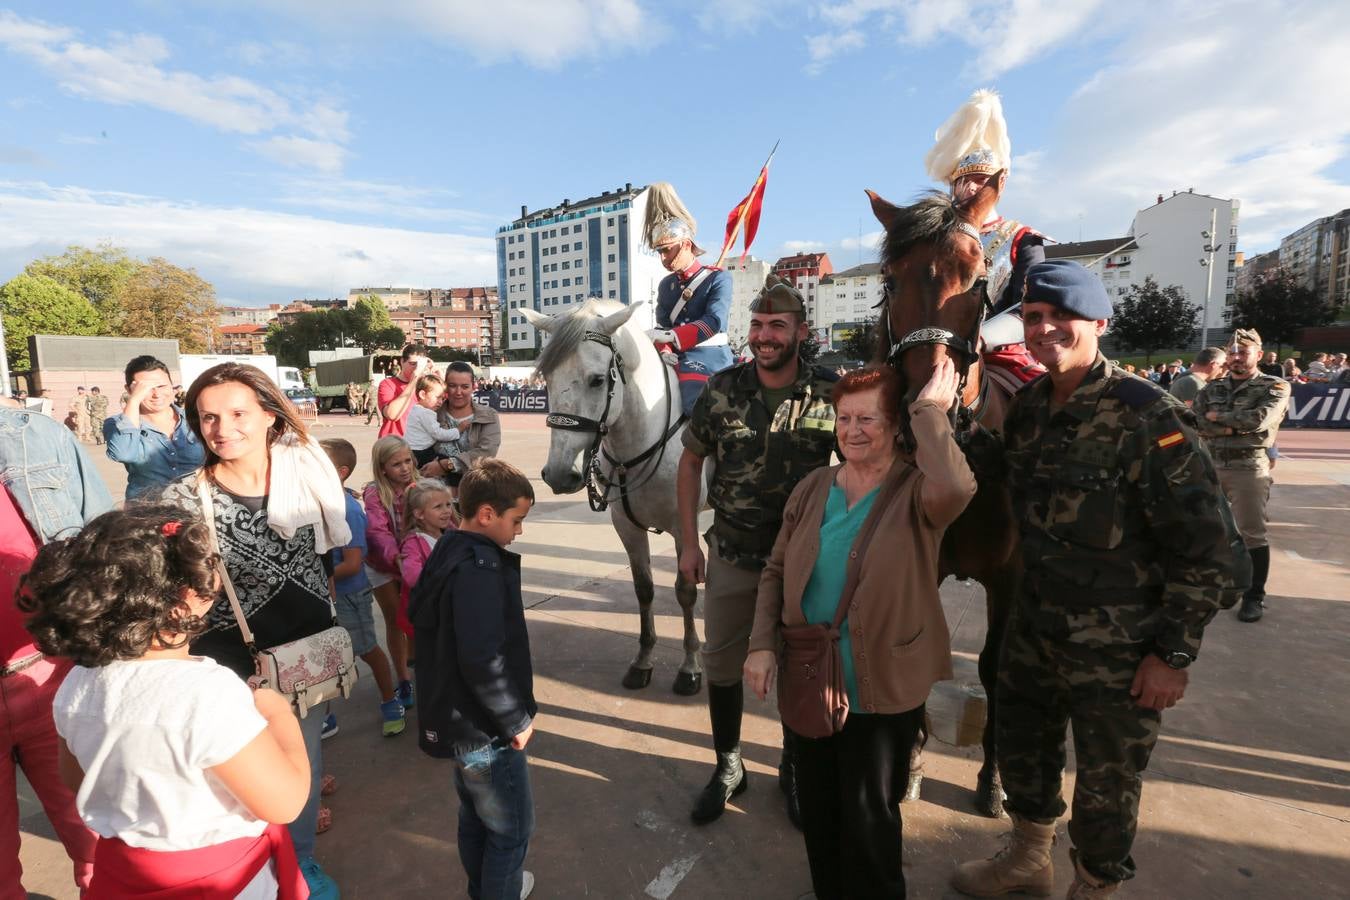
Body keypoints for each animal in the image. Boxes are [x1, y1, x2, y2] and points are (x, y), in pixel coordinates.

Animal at [518, 302, 707, 696]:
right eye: (547, 379)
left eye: (596, 380)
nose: (559, 473)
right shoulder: (626, 526)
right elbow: (644, 589)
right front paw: (643, 660)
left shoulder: (684, 527)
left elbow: (684, 590)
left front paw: (689, 666)